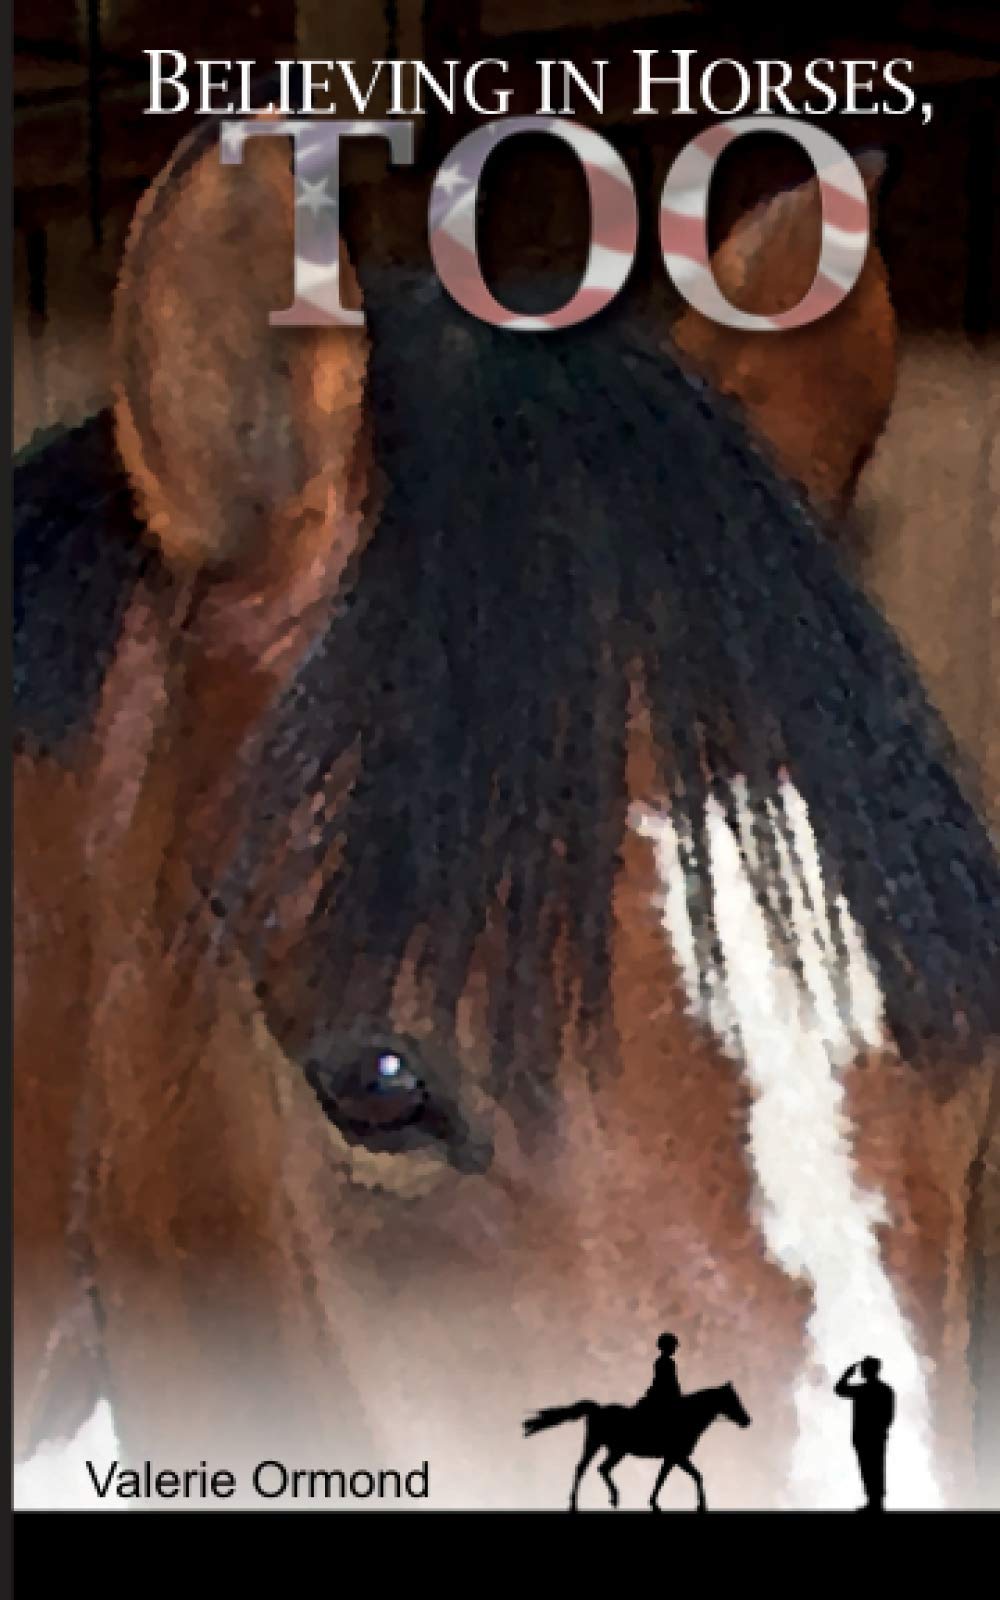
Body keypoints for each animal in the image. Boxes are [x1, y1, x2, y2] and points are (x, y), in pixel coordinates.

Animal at [524, 1383, 753, 1511]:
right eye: (733, 1400)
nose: (747, 1421)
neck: (686, 1417)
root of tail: (597, 1409)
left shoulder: (672, 1458)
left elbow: (663, 1478)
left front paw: (653, 1501)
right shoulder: (677, 1456)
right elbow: (696, 1476)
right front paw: (702, 1504)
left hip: (615, 1450)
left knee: (602, 1468)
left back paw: (614, 1498)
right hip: (596, 1445)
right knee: (583, 1468)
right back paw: (574, 1502)